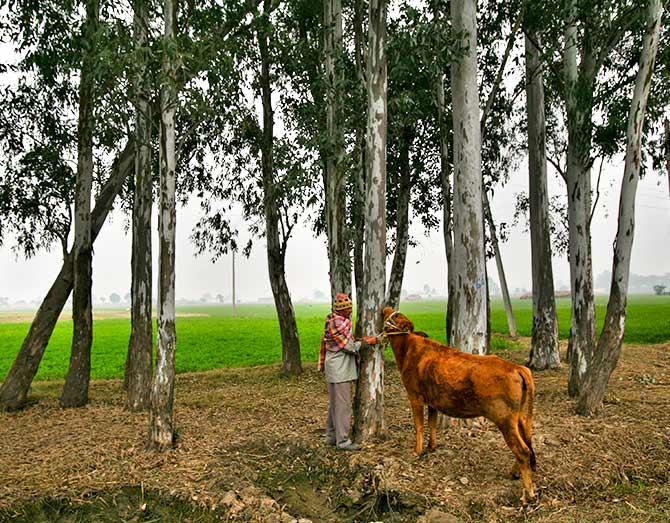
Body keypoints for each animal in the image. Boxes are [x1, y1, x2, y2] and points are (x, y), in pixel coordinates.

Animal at [386, 308, 540, 504]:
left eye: (396, 316)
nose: (387, 309)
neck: (408, 349)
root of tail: (516, 367)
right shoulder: (432, 401)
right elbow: (432, 423)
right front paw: (431, 447)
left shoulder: (415, 396)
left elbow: (419, 425)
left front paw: (416, 452)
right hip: (520, 418)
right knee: (527, 443)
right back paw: (514, 473)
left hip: (505, 420)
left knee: (522, 451)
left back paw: (528, 494)